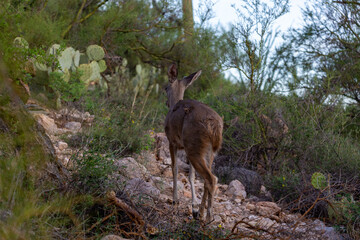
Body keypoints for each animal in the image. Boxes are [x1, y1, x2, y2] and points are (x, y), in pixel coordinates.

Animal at [165, 64, 222, 223]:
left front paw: (175, 200)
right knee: (207, 179)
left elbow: (175, 168)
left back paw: (208, 217)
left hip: (195, 147)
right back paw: (201, 213)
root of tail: (215, 126)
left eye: (165, 87)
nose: (166, 102)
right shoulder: (185, 147)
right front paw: (194, 206)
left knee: (211, 178)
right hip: (208, 151)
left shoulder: (172, 141)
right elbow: (191, 175)